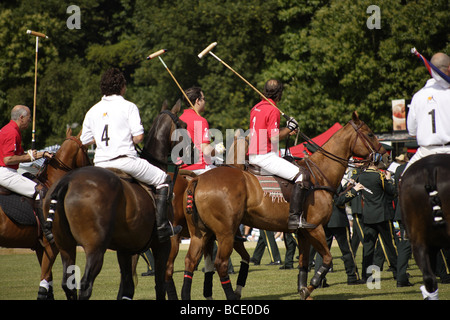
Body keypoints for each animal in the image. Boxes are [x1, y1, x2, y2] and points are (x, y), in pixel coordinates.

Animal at [0, 128, 91, 300]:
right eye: (86, 149)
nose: (92, 166)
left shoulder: (40, 248)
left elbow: (49, 285)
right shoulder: (52, 246)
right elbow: (44, 288)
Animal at [44, 100, 186, 300]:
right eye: (184, 125)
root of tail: (67, 181)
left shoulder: (126, 248)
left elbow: (127, 286)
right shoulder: (162, 243)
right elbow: (159, 284)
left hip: (65, 245)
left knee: (68, 284)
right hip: (95, 247)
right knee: (85, 284)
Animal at [179, 112, 384, 300]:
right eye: (370, 133)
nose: (384, 157)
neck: (320, 175)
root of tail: (197, 179)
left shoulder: (303, 232)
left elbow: (303, 263)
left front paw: (303, 290)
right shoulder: (315, 227)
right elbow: (326, 259)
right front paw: (310, 287)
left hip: (201, 233)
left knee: (190, 261)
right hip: (225, 232)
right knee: (220, 263)